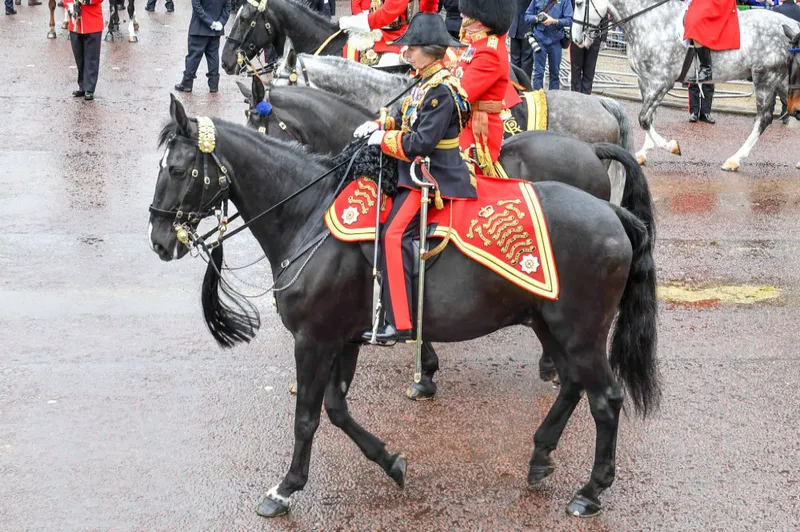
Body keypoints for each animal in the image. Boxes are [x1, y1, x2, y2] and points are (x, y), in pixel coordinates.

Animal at [147, 94, 660, 516]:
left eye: (177, 170)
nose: (158, 241)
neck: (308, 216)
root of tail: (611, 212)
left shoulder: (314, 340)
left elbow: (307, 417)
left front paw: (286, 487)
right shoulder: (344, 338)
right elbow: (336, 408)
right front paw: (391, 461)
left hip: (582, 331)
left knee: (606, 399)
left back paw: (590, 491)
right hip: (547, 322)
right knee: (573, 384)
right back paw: (539, 457)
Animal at [572, 0, 800, 170]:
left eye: (579, 3)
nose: (575, 39)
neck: (652, 22)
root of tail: (793, 25)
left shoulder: (661, 81)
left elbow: (644, 119)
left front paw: (671, 146)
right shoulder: (645, 81)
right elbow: (649, 118)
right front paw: (644, 152)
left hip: (766, 78)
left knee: (764, 119)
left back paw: (734, 159)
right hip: (782, 82)